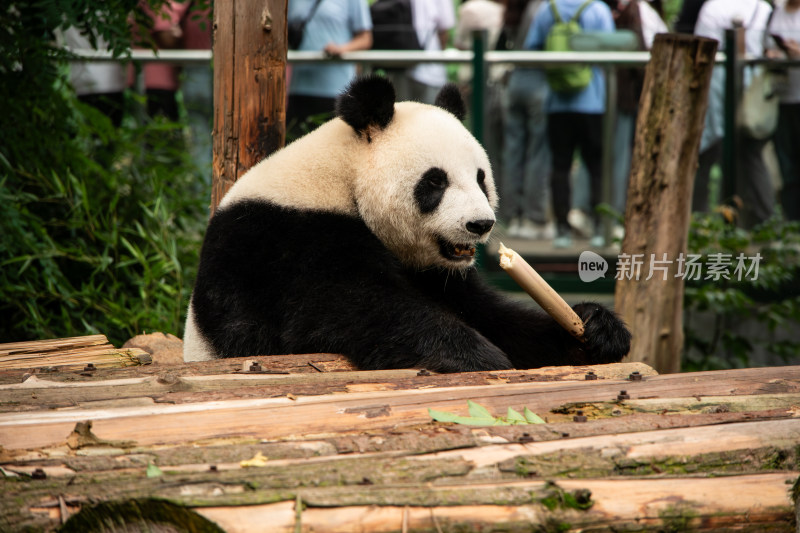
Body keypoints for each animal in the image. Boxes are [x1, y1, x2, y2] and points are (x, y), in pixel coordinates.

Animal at [183, 75, 632, 372]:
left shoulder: (439, 273)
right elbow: (349, 307)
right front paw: (473, 356)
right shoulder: (286, 240)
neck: (342, 177)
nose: (480, 225)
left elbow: (492, 315)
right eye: (435, 182)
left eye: (481, 179)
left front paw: (596, 328)